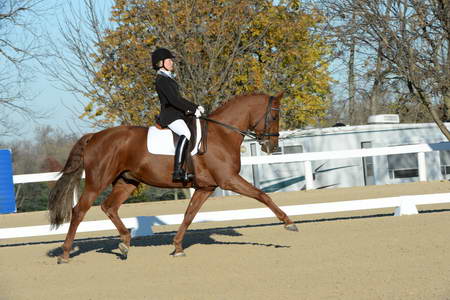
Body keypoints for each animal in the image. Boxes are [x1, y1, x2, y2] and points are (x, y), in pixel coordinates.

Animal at [49, 92, 298, 262]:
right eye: (274, 115)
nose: (272, 147)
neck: (222, 134)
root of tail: (94, 136)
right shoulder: (229, 180)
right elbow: (262, 195)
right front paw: (289, 223)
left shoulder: (205, 188)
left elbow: (189, 215)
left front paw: (177, 247)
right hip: (97, 181)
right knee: (79, 211)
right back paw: (65, 254)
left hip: (127, 182)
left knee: (109, 207)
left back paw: (125, 244)